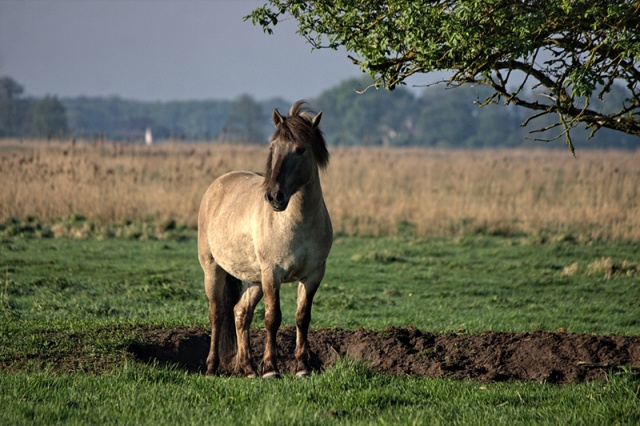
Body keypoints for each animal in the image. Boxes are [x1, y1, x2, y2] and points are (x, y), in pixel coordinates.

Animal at [198, 100, 332, 380]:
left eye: (300, 149)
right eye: (273, 148)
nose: (274, 197)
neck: (297, 221)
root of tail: (218, 183)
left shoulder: (313, 275)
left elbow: (302, 317)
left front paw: (301, 367)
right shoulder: (273, 274)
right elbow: (273, 318)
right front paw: (271, 368)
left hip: (253, 279)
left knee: (240, 313)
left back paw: (248, 368)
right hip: (213, 269)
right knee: (217, 314)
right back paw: (212, 367)